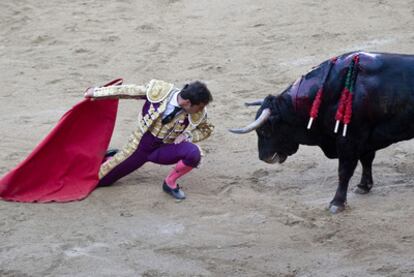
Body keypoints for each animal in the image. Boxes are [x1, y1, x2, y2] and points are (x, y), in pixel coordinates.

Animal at [230, 50, 414, 212]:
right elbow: (366, 160)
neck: (330, 92)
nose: (264, 157)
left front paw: (337, 203)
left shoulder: (350, 140)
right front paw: (363, 186)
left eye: (265, 130)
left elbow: (345, 170)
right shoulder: (365, 140)